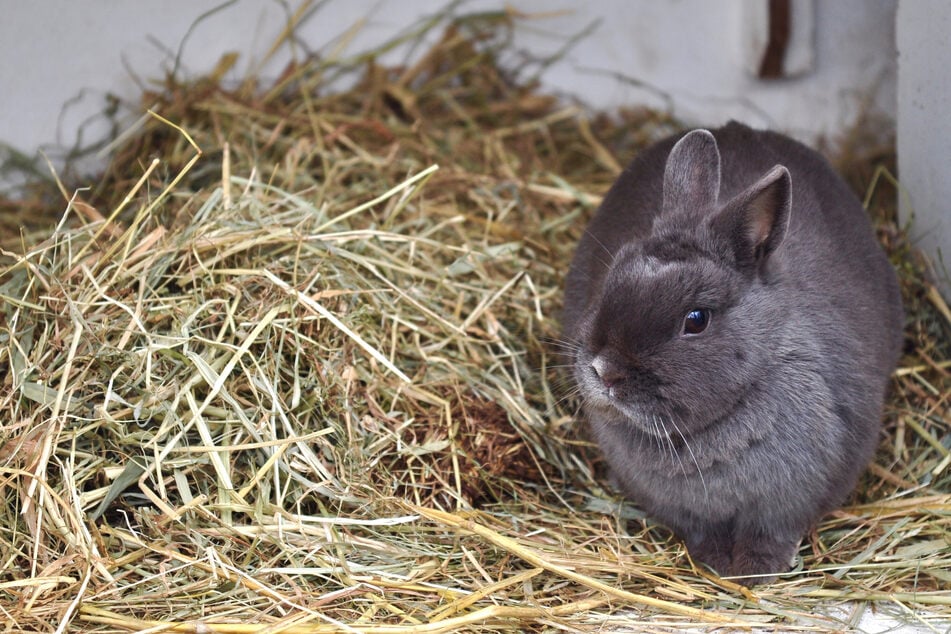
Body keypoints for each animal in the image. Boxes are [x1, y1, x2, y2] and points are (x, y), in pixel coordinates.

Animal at [560, 119, 904, 584]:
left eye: (696, 319)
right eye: (612, 278)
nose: (604, 369)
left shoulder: (787, 504)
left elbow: (770, 533)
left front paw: (755, 572)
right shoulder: (689, 513)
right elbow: (703, 531)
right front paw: (717, 564)